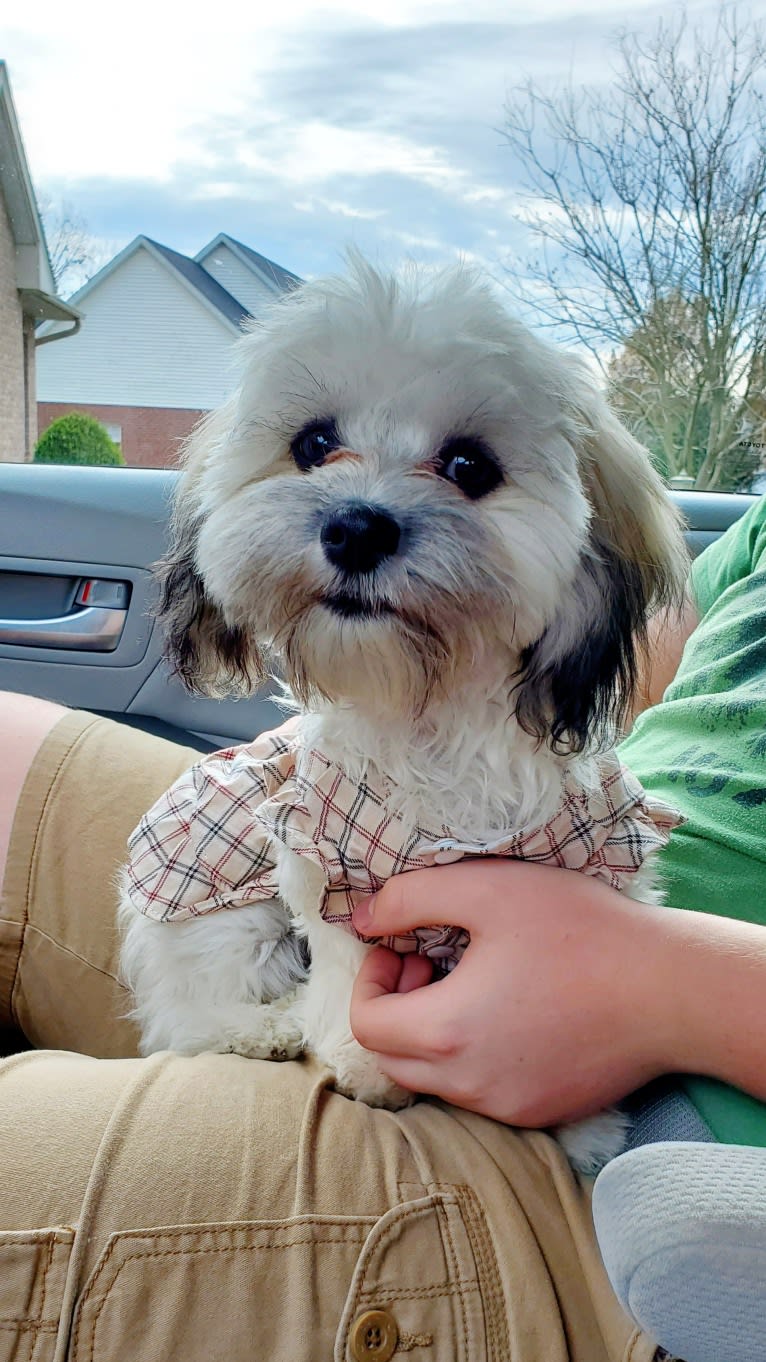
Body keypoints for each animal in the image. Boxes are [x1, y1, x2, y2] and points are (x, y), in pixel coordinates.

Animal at [120, 256, 686, 1171]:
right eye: (314, 445)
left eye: (468, 464)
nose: (356, 527)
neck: (430, 720)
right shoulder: (322, 863)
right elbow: (348, 969)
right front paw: (363, 1061)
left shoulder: (603, 853)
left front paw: (585, 1125)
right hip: (223, 909)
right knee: (185, 1016)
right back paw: (266, 1029)